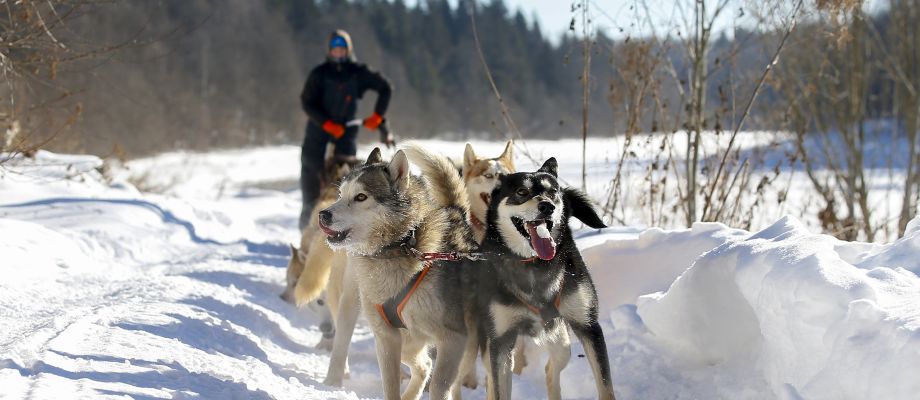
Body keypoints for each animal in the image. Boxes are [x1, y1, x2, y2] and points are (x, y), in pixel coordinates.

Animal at [316, 147, 478, 400]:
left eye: (361, 197)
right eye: (341, 194)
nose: (323, 215)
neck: (402, 245)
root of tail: (456, 213)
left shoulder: (453, 339)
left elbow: (440, 386)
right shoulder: (386, 337)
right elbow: (390, 386)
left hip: (464, 348)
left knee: (449, 379)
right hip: (406, 342)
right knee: (424, 366)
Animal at [478, 159, 616, 400]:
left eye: (552, 192)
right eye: (521, 192)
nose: (547, 206)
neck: (535, 265)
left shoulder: (588, 326)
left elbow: (605, 386)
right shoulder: (501, 341)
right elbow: (500, 388)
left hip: (561, 341)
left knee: (550, 369)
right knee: (491, 381)